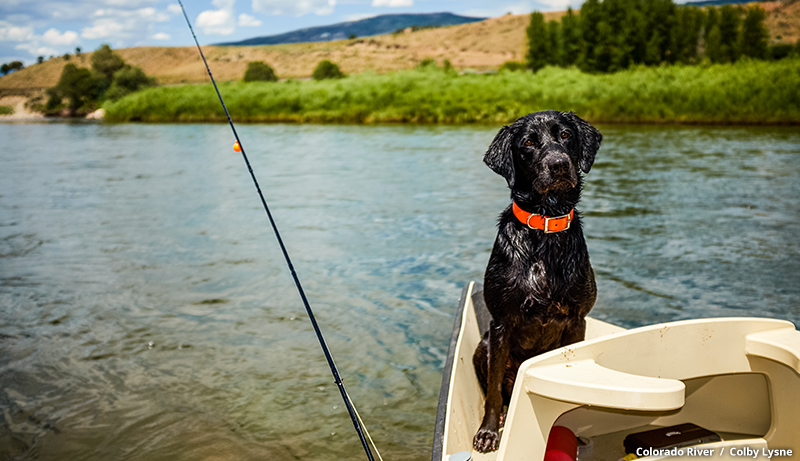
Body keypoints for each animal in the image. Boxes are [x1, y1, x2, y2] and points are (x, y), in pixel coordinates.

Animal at [468, 109, 600, 452]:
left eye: (565, 135)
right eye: (527, 143)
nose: (559, 164)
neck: (544, 227)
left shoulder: (577, 319)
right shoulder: (501, 323)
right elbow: (492, 392)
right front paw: (488, 432)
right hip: (482, 346)